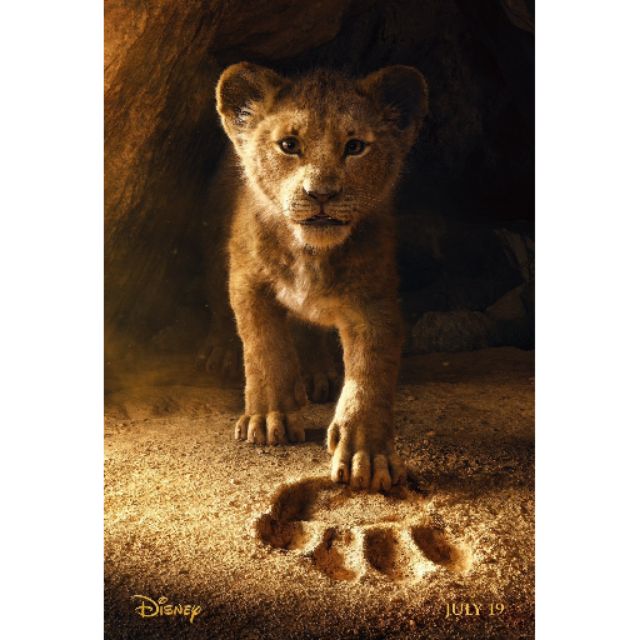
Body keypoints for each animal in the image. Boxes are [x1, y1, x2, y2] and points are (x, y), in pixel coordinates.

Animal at [208, 62, 428, 491]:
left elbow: (370, 373)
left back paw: (316, 375)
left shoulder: (374, 301)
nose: (321, 193)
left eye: (355, 146)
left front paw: (366, 453)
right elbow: (264, 347)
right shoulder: (247, 280)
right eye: (289, 145)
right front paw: (269, 418)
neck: (310, 253)